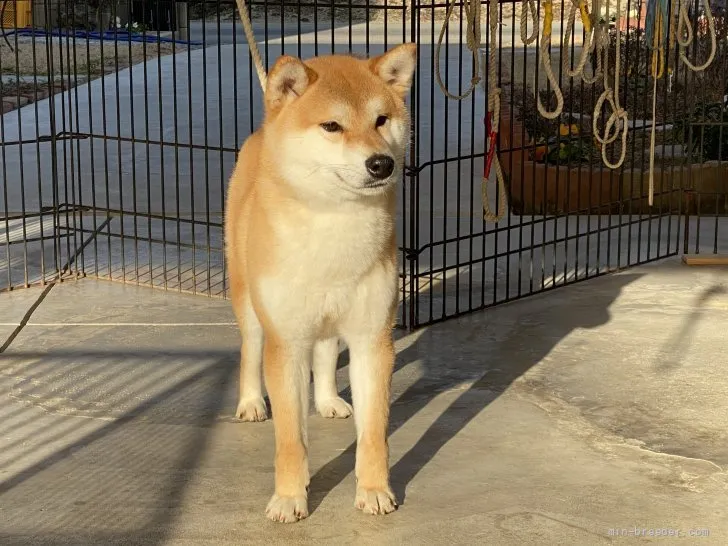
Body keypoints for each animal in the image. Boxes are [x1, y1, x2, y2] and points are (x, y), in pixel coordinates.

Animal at [222, 44, 416, 520]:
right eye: (332, 126)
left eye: (381, 119)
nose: (381, 163)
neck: (335, 226)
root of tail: (263, 132)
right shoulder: (287, 342)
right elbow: (291, 439)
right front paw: (290, 497)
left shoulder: (373, 340)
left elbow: (374, 434)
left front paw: (374, 490)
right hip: (250, 303)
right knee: (249, 349)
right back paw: (251, 402)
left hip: (330, 316)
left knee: (326, 353)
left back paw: (328, 400)